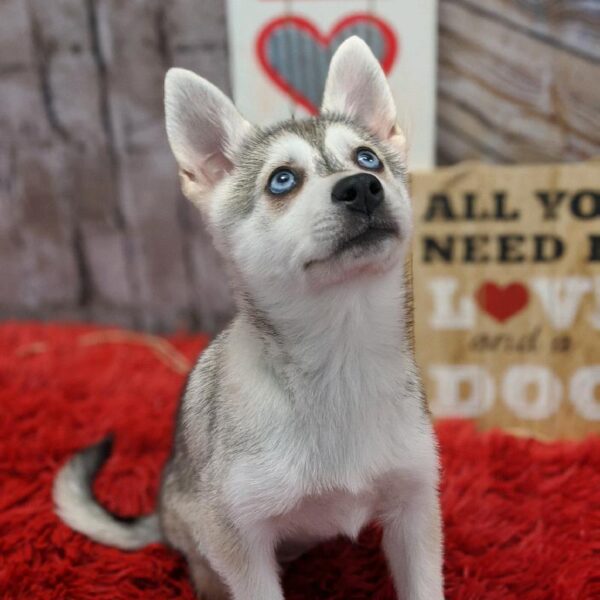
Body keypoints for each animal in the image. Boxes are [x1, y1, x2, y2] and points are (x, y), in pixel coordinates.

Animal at [54, 37, 442, 600]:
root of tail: (160, 514)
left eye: (368, 158)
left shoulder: (414, 508)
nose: (362, 187)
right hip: (200, 540)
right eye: (282, 181)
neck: (341, 357)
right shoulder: (239, 542)